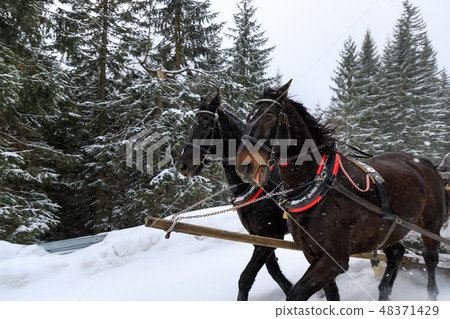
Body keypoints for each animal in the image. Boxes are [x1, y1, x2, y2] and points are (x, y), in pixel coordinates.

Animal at [178, 91, 294, 302]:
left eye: (204, 124)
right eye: (192, 125)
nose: (182, 165)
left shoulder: (271, 235)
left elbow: (245, 278)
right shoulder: (260, 238)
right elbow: (274, 272)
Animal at [236, 81, 446, 302]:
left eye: (269, 116)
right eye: (249, 118)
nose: (243, 165)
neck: (319, 186)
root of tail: (423, 162)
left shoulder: (333, 259)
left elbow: (295, 294)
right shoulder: (312, 254)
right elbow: (331, 294)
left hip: (431, 224)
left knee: (430, 258)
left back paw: (432, 294)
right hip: (386, 231)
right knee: (397, 253)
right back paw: (384, 292)